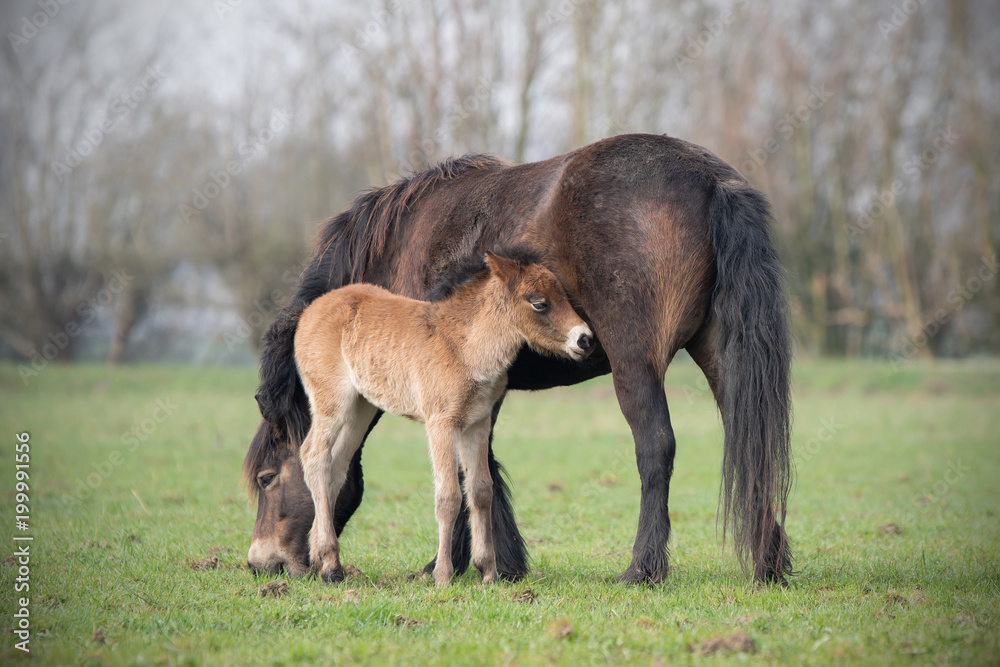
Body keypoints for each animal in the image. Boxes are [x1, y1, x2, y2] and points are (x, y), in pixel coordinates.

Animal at [292, 251, 593, 586]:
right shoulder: (441, 424)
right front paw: (443, 575)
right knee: (314, 457)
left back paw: (321, 560)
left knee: (337, 466)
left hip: (361, 408)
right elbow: (448, 496)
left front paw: (489, 572)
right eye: (539, 302)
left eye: (564, 294)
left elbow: (481, 490)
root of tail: (310, 312)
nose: (585, 340)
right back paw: (330, 566)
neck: (464, 345)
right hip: (332, 404)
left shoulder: (478, 422)